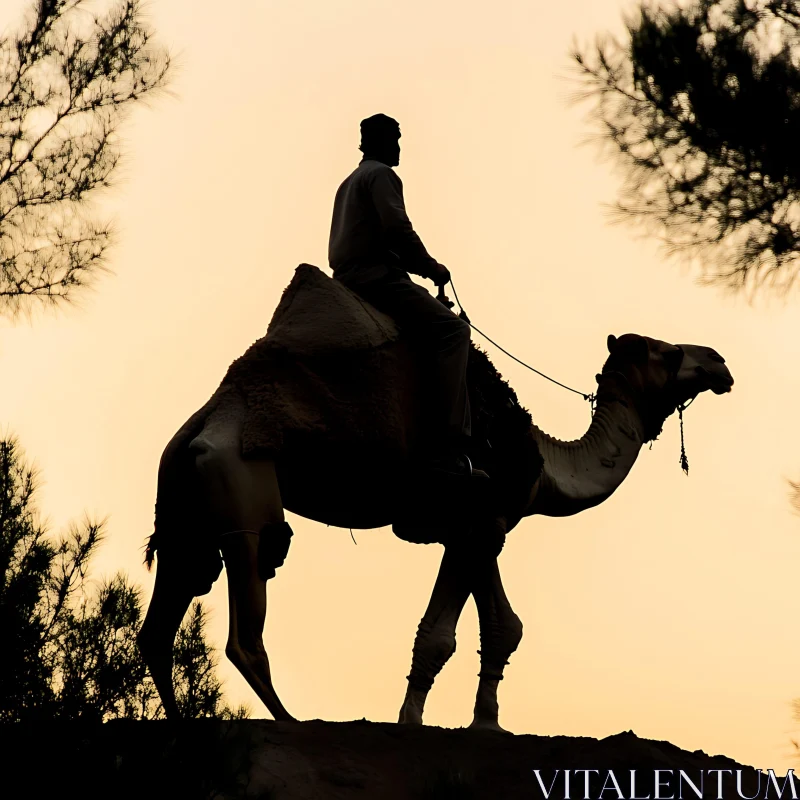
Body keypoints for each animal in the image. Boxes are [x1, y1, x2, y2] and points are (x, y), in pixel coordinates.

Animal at [138, 266, 732, 728]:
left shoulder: (481, 525)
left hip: (182, 507)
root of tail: (210, 419)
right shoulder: (477, 522)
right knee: (245, 621)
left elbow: (504, 627)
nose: (719, 361)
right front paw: (410, 721)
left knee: (161, 622)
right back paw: (290, 720)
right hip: (243, 485)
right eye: (667, 353)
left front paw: (486, 723)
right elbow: (439, 636)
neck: (543, 463)